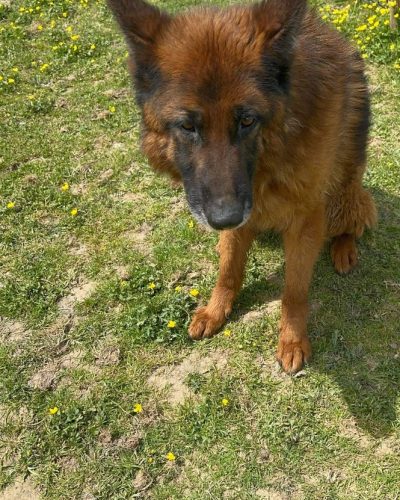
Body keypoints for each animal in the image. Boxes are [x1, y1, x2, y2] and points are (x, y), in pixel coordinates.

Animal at [106, 0, 376, 372]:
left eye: (247, 120)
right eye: (187, 126)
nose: (225, 219)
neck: (267, 163)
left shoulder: (305, 218)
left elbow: (294, 290)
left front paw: (292, 339)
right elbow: (229, 268)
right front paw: (216, 310)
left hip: (345, 196)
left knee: (351, 222)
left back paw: (344, 248)